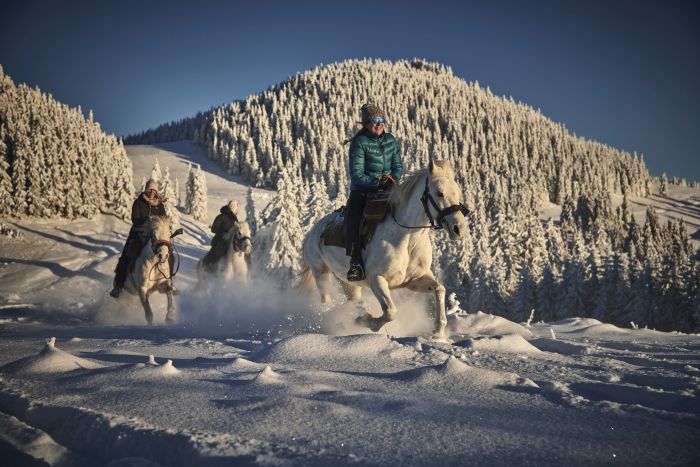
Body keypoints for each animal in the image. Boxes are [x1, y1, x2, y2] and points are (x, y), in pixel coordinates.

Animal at [298, 160, 468, 336]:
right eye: (440, 193)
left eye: (457, 192)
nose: (459, 229)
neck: (407, 238)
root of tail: (313, 231)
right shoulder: (377, 279)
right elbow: (390, 312)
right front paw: (371, 323)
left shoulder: (415, 280)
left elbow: (440, 289)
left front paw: (438, 332)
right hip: (320, 272)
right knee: (326, 302)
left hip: (347, 282)